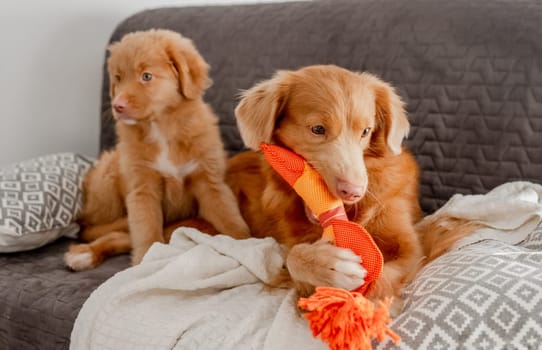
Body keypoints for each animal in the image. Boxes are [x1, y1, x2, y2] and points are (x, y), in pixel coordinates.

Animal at [64, 30, 251, 270]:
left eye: (146, 76)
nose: (117, 106)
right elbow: (147, 232)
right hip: (107, 177)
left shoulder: (209, 182)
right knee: (102, 228)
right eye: (118, 78)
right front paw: (145, 264)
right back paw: (84, 253)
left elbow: (230, 220)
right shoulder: (143, 188)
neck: (161, 129)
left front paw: (247, 246)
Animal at [227, 65, 428, 312]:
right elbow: (293, 257)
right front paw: (326, 264)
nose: (354, 192)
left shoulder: (409, 247)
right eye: (317, 129)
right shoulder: (293, 240)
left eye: (366, 131)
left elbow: (383, 278)